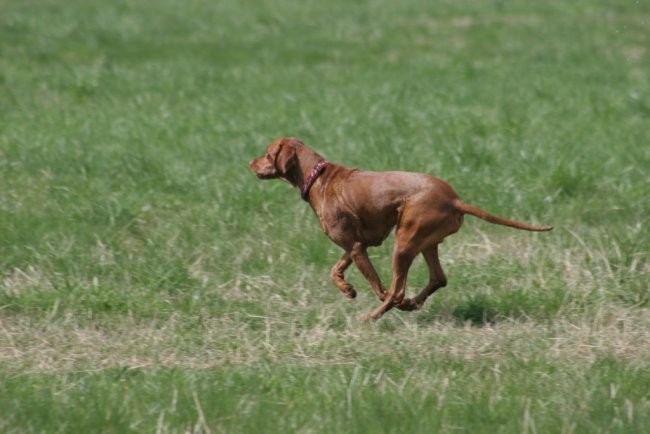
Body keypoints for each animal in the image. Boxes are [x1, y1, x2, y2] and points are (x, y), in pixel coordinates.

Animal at [248, 137, 552, 320]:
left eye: (267, 154)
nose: (250, 163)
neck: (318, 177)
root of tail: (455, 199)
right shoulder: (357, 245)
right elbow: (335, 270)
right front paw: (347, 289)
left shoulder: (357, 248)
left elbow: (380, 288)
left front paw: (381, 300)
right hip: (425, 243)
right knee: (438, 279)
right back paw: (413, 304)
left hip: (403, 243)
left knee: (397, 291)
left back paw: (374, 316)